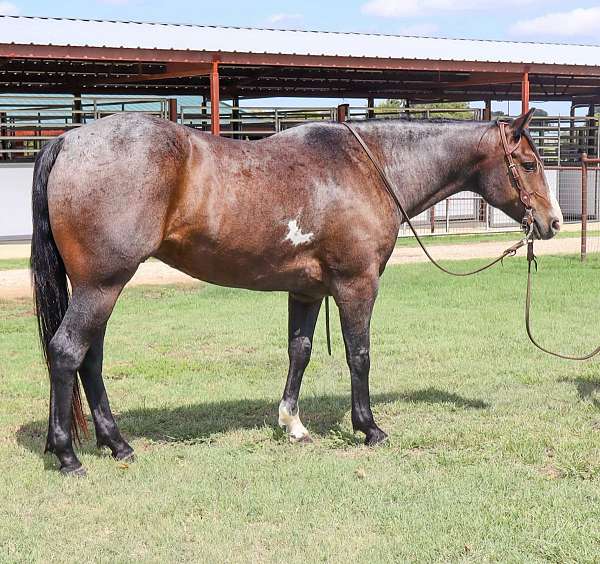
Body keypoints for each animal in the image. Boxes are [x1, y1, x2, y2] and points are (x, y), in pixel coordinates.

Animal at [29, 108, 564, 474]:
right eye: (528, 162)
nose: (554, 222)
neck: (368, 168)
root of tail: (70, 140)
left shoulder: (307, 292)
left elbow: (299, 352)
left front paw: (293, 425)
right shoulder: (356, 284)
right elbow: (358, 354)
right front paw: (369, 428)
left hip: (100, 287)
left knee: (90, 359)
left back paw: (117, 444)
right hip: (102, 285)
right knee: (67, 352)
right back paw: (68, 455)